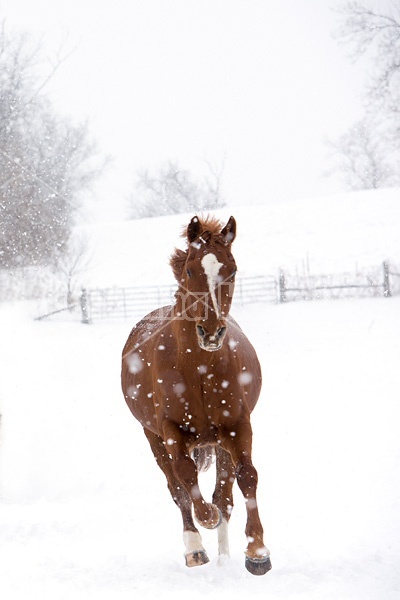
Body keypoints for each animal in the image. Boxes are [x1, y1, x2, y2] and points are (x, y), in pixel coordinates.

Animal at [121, 216, 272, 576]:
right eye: (191, 270)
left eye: (231, 269)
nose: (211, 332)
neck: (199, 368)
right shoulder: (170, 431)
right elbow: (186, 478)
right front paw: (205, 524)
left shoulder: (236, 426)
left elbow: (246, 477)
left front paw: (257, 552)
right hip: (152, 437)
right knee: (177, 489)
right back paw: (196, 550)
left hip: (218, 442)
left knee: (224, 494)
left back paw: (223, 556)